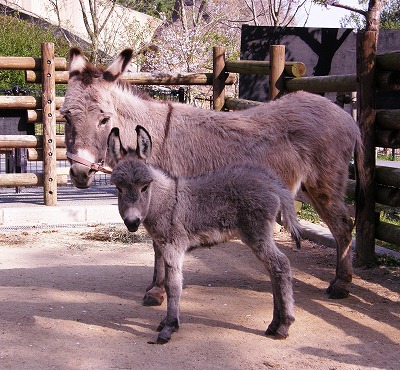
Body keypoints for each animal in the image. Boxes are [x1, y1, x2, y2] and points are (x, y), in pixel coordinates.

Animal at [108, 126, 300, 344]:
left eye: (145, 187)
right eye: (118, 188)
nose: (132, 222)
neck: (165, 201)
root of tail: (270, 181)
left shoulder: (173, 247)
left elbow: (173, 286)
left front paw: (169, 327)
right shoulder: (164, 247)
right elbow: (168, 281)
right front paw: (166, 322)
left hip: (256, 233)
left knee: (281, 265)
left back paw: (284, 324)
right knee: (273, 270)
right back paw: (275, 323)